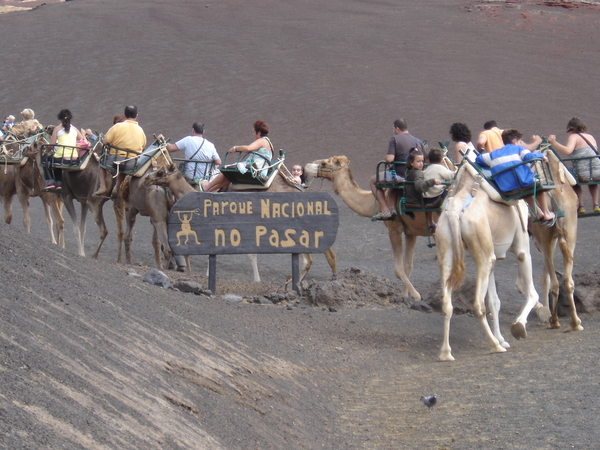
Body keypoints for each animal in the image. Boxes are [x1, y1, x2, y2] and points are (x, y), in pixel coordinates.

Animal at [305, 155, 434, 299]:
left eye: (324, 163)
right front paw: (405, 296)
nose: (307, 166)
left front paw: (416, 296)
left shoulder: (394, 229)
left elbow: (398, 269)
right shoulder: (411, 231)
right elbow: (408, 266)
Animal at [435, 163, 546, 361]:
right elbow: (532, 293)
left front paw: (503, 338)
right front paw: (518, 328)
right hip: (484, 257)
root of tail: (455, 212)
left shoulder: (492, 257)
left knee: (447, 304)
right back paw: (495, 346)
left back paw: (446, 353)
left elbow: (495, 301)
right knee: (478, 304)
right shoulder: (522, 249)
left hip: (448, 252)